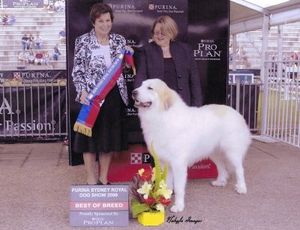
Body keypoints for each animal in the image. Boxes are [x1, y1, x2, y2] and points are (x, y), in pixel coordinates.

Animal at [132, 79, 252, 212]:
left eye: (150, 88)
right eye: (141, 85)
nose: (133, 92)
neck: (162, 115)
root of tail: (237, 113)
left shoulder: (178, 164)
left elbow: (179, 188)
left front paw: (178, 206)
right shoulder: (164, 162)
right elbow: (167, 183)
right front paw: (164, 199)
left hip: (232, 152)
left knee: (239, 169)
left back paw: (241, 188)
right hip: (214, 152)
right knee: (222, 167)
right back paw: (220, 182)